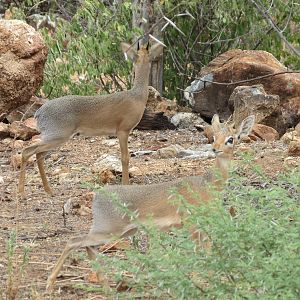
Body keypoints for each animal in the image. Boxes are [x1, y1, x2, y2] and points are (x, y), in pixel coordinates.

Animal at [18, 39, 164, 197]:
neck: (137, 97)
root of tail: (39, 112)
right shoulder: (123, 131)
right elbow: (125, 158)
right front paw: (126, 185)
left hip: (54, 138)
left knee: (38, 154)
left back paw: (48, 190)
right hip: (56, 137)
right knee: (27, 151)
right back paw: (21, 193)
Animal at [45, 113, 254, 290]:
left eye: (231, 138)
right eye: (215, 136)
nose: (215, 149)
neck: (207, 184)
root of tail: (98, 195)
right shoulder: (192, 224)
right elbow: (199, 253)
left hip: (121, 232)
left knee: (87, 247)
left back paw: (106, 286)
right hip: (109, 231)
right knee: (74, 241)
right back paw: (50, 283)